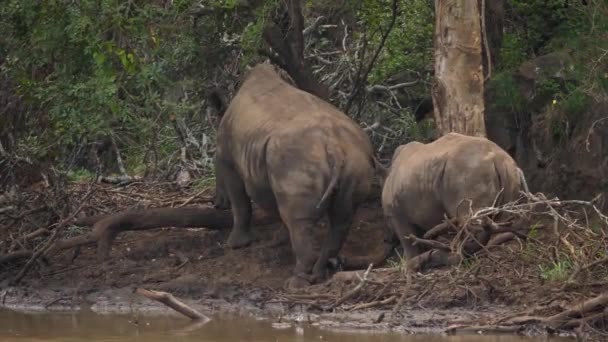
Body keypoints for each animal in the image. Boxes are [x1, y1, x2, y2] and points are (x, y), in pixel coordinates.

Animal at [209, 62, 380, 288]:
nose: (215, 203)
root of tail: (334, 146)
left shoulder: (228, 159)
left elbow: (240, 202)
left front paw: (236, 245)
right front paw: (276, 240)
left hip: (299, 159)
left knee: (299, 220)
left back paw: (295, 282)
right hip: (355, 160)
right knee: (340, 219)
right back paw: (317, 274)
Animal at [382, 133, 528, 260]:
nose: (387, 240)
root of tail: (499, 159)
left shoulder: (395, 213)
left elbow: (407, 240)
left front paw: (409, 263)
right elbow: (421, 238)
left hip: (469, 171)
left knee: (470, 218)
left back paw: (466, 254)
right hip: (510, 173)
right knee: (503, 217)